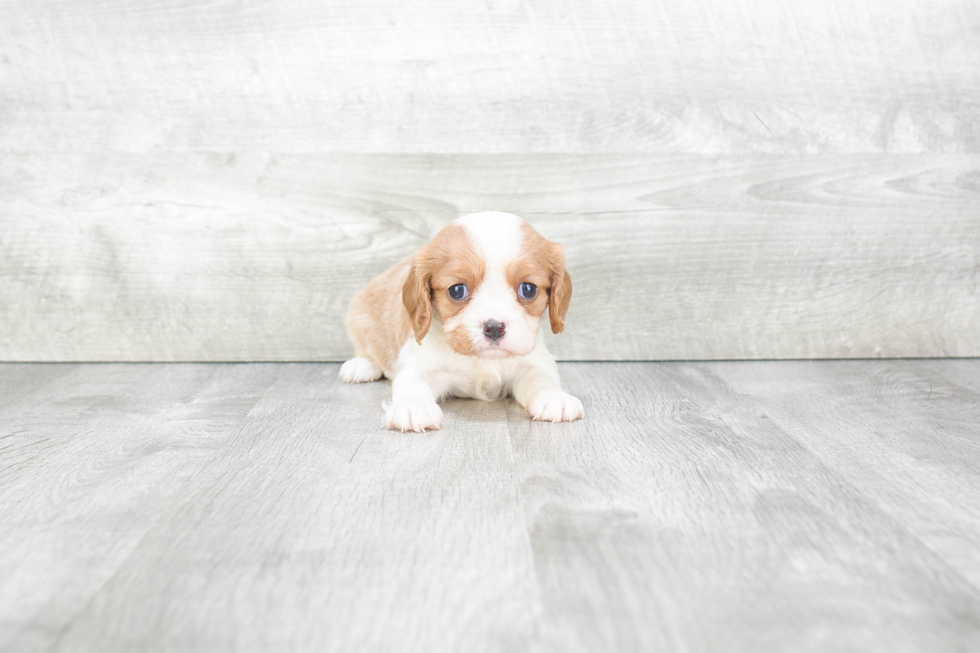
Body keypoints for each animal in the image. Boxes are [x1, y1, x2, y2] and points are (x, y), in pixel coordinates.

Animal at [340, 211, 580, 430]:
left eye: (528, 289)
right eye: (457, 291)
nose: (494, 327)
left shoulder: (534, 361)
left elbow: (542, 378)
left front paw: (554, 397)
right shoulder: (418, 362)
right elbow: (412, 383)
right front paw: (413, 406)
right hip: (359, 315)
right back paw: (361, 366)